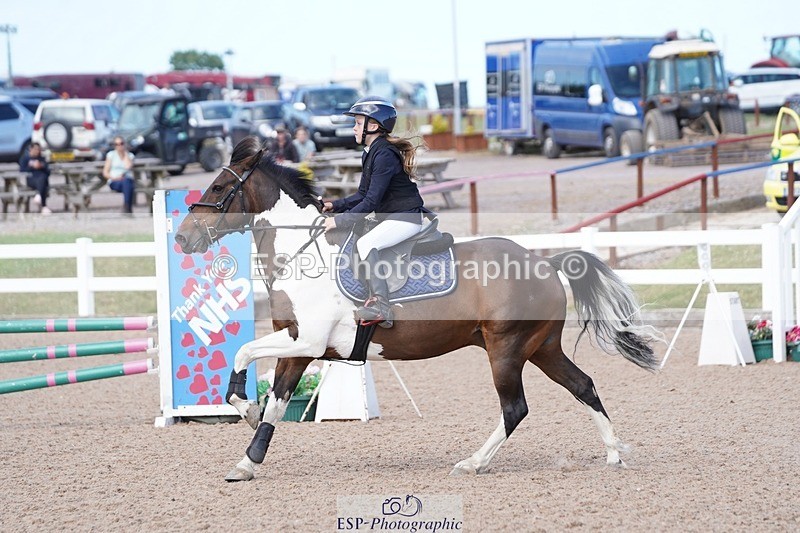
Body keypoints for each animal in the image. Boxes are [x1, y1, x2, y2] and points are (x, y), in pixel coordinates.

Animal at [174, 136, 661, 482]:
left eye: (219, 188)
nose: (181, 238)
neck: (302, 254)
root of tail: (545, 261)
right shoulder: (297, 347)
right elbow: (274, 402)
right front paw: (248, 455)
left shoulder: (305, 341)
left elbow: (244, 354)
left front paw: (245, 413)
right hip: (541, 347)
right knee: (583, 385)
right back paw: (614, 453)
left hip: (506, 349)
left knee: (515, 408)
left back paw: (472, 463)